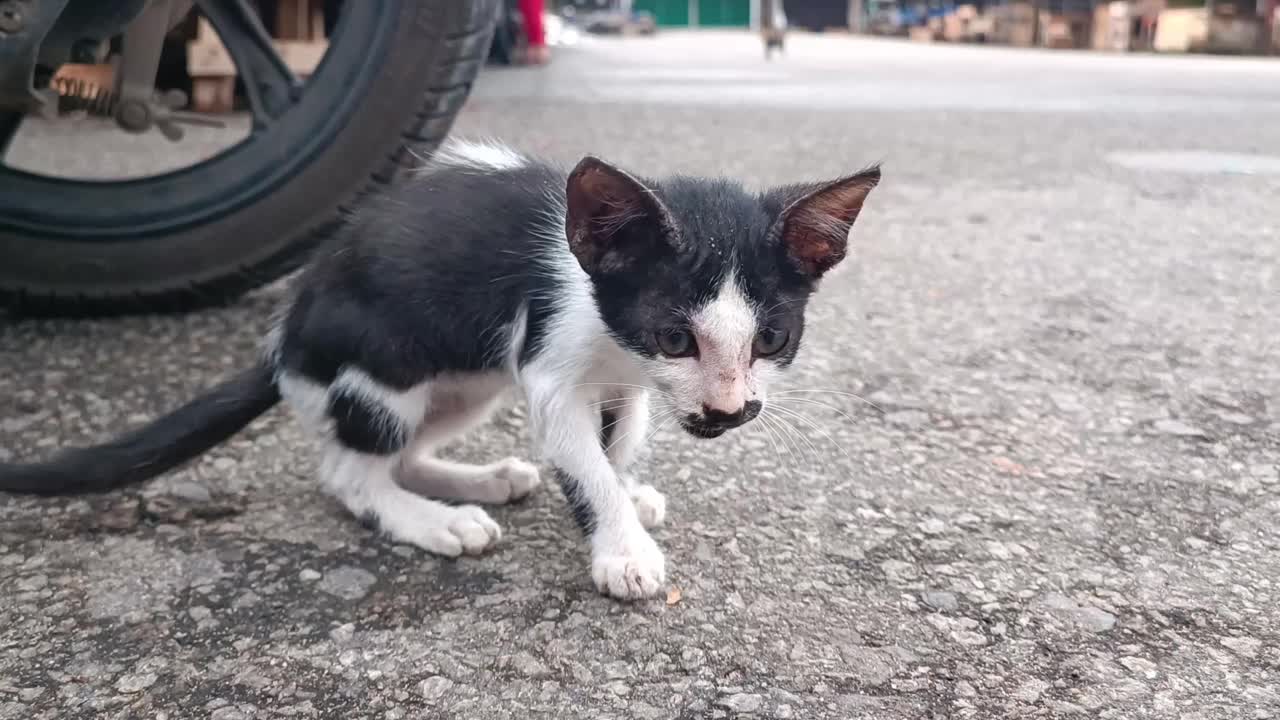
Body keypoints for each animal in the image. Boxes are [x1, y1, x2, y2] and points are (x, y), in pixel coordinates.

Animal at [0, 137, 880, 597]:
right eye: (674, 338)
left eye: (772, 341)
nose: (729, 412)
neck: (610, 333)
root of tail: (284, 336)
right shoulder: (550, 360)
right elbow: (580, 456)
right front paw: (620, 546)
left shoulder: (620, 384)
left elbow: (618, 438)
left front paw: (625, 490)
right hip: (384, 366)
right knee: (349, 472)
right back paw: (430, 520)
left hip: (469, 377)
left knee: (409, 449)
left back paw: (477, 481)